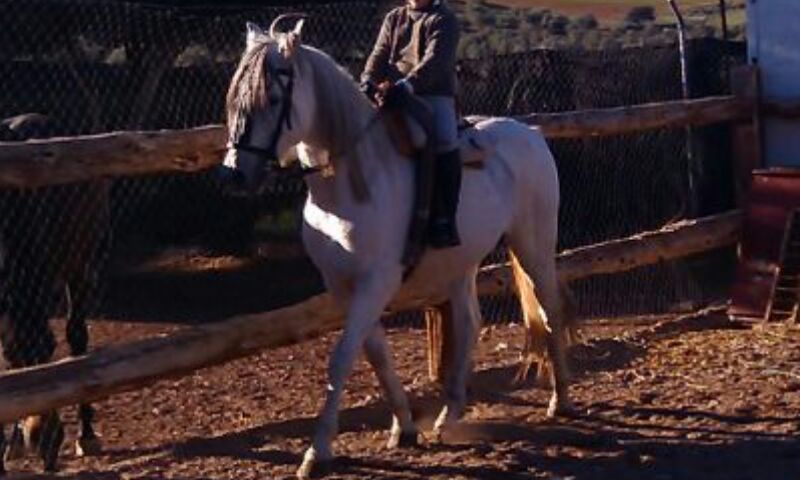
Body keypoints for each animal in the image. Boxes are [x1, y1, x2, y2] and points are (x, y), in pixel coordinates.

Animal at [0, 113, 109, 474]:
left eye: (49, 350)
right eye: (14, 360)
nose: (46, 444)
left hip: (80, 257)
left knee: (77, 337)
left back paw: (86, 435)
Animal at [220, 18, 574, 478]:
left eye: (274, 98)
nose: (233, 175)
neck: (352, 182)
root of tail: (529, 133)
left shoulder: (376, 283)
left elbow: (341, 359)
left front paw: (317, 451)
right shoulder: (344, 286)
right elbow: (376, 355)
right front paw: (404, 428)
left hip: (533, 246)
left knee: (549, 311)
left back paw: (560, 400)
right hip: (460, 264)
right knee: (469, 322)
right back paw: (448, 415)